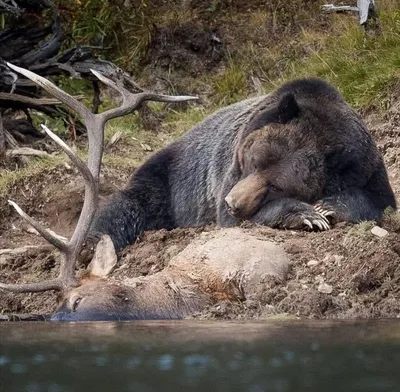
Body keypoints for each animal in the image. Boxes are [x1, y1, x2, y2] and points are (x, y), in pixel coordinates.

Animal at [89, 78, 396, 251]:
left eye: (276, 185)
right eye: (253, 161)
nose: (231, 203)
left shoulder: (365, 164)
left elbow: (380, 200)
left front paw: (329, 205)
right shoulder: (227, 169)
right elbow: (237, 222)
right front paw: (308, 214)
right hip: (168, 178)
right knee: (127, 209)